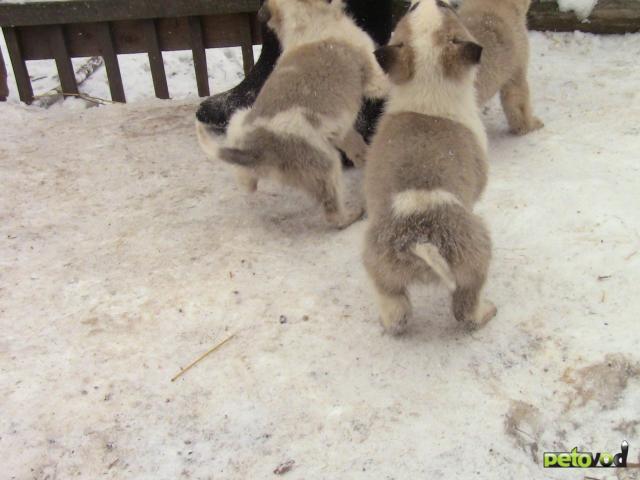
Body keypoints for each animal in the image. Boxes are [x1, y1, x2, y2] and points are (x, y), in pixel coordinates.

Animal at [196, 0, 390, 228]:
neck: (305, 20)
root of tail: (257, 152)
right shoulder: (373, 76)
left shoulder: (340, 127)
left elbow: (354, 141)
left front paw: (364, 156)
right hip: (325, 165)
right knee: (333, 214)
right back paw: (353, 215)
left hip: (239, 120)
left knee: (244, 180)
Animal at [364, 0, 496, 336]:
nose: (427, 0)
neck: (428, 83)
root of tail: (419, 240)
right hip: (474, 260)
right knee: (465, 310)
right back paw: (487, 312)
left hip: (384, 275)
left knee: (396, 313)